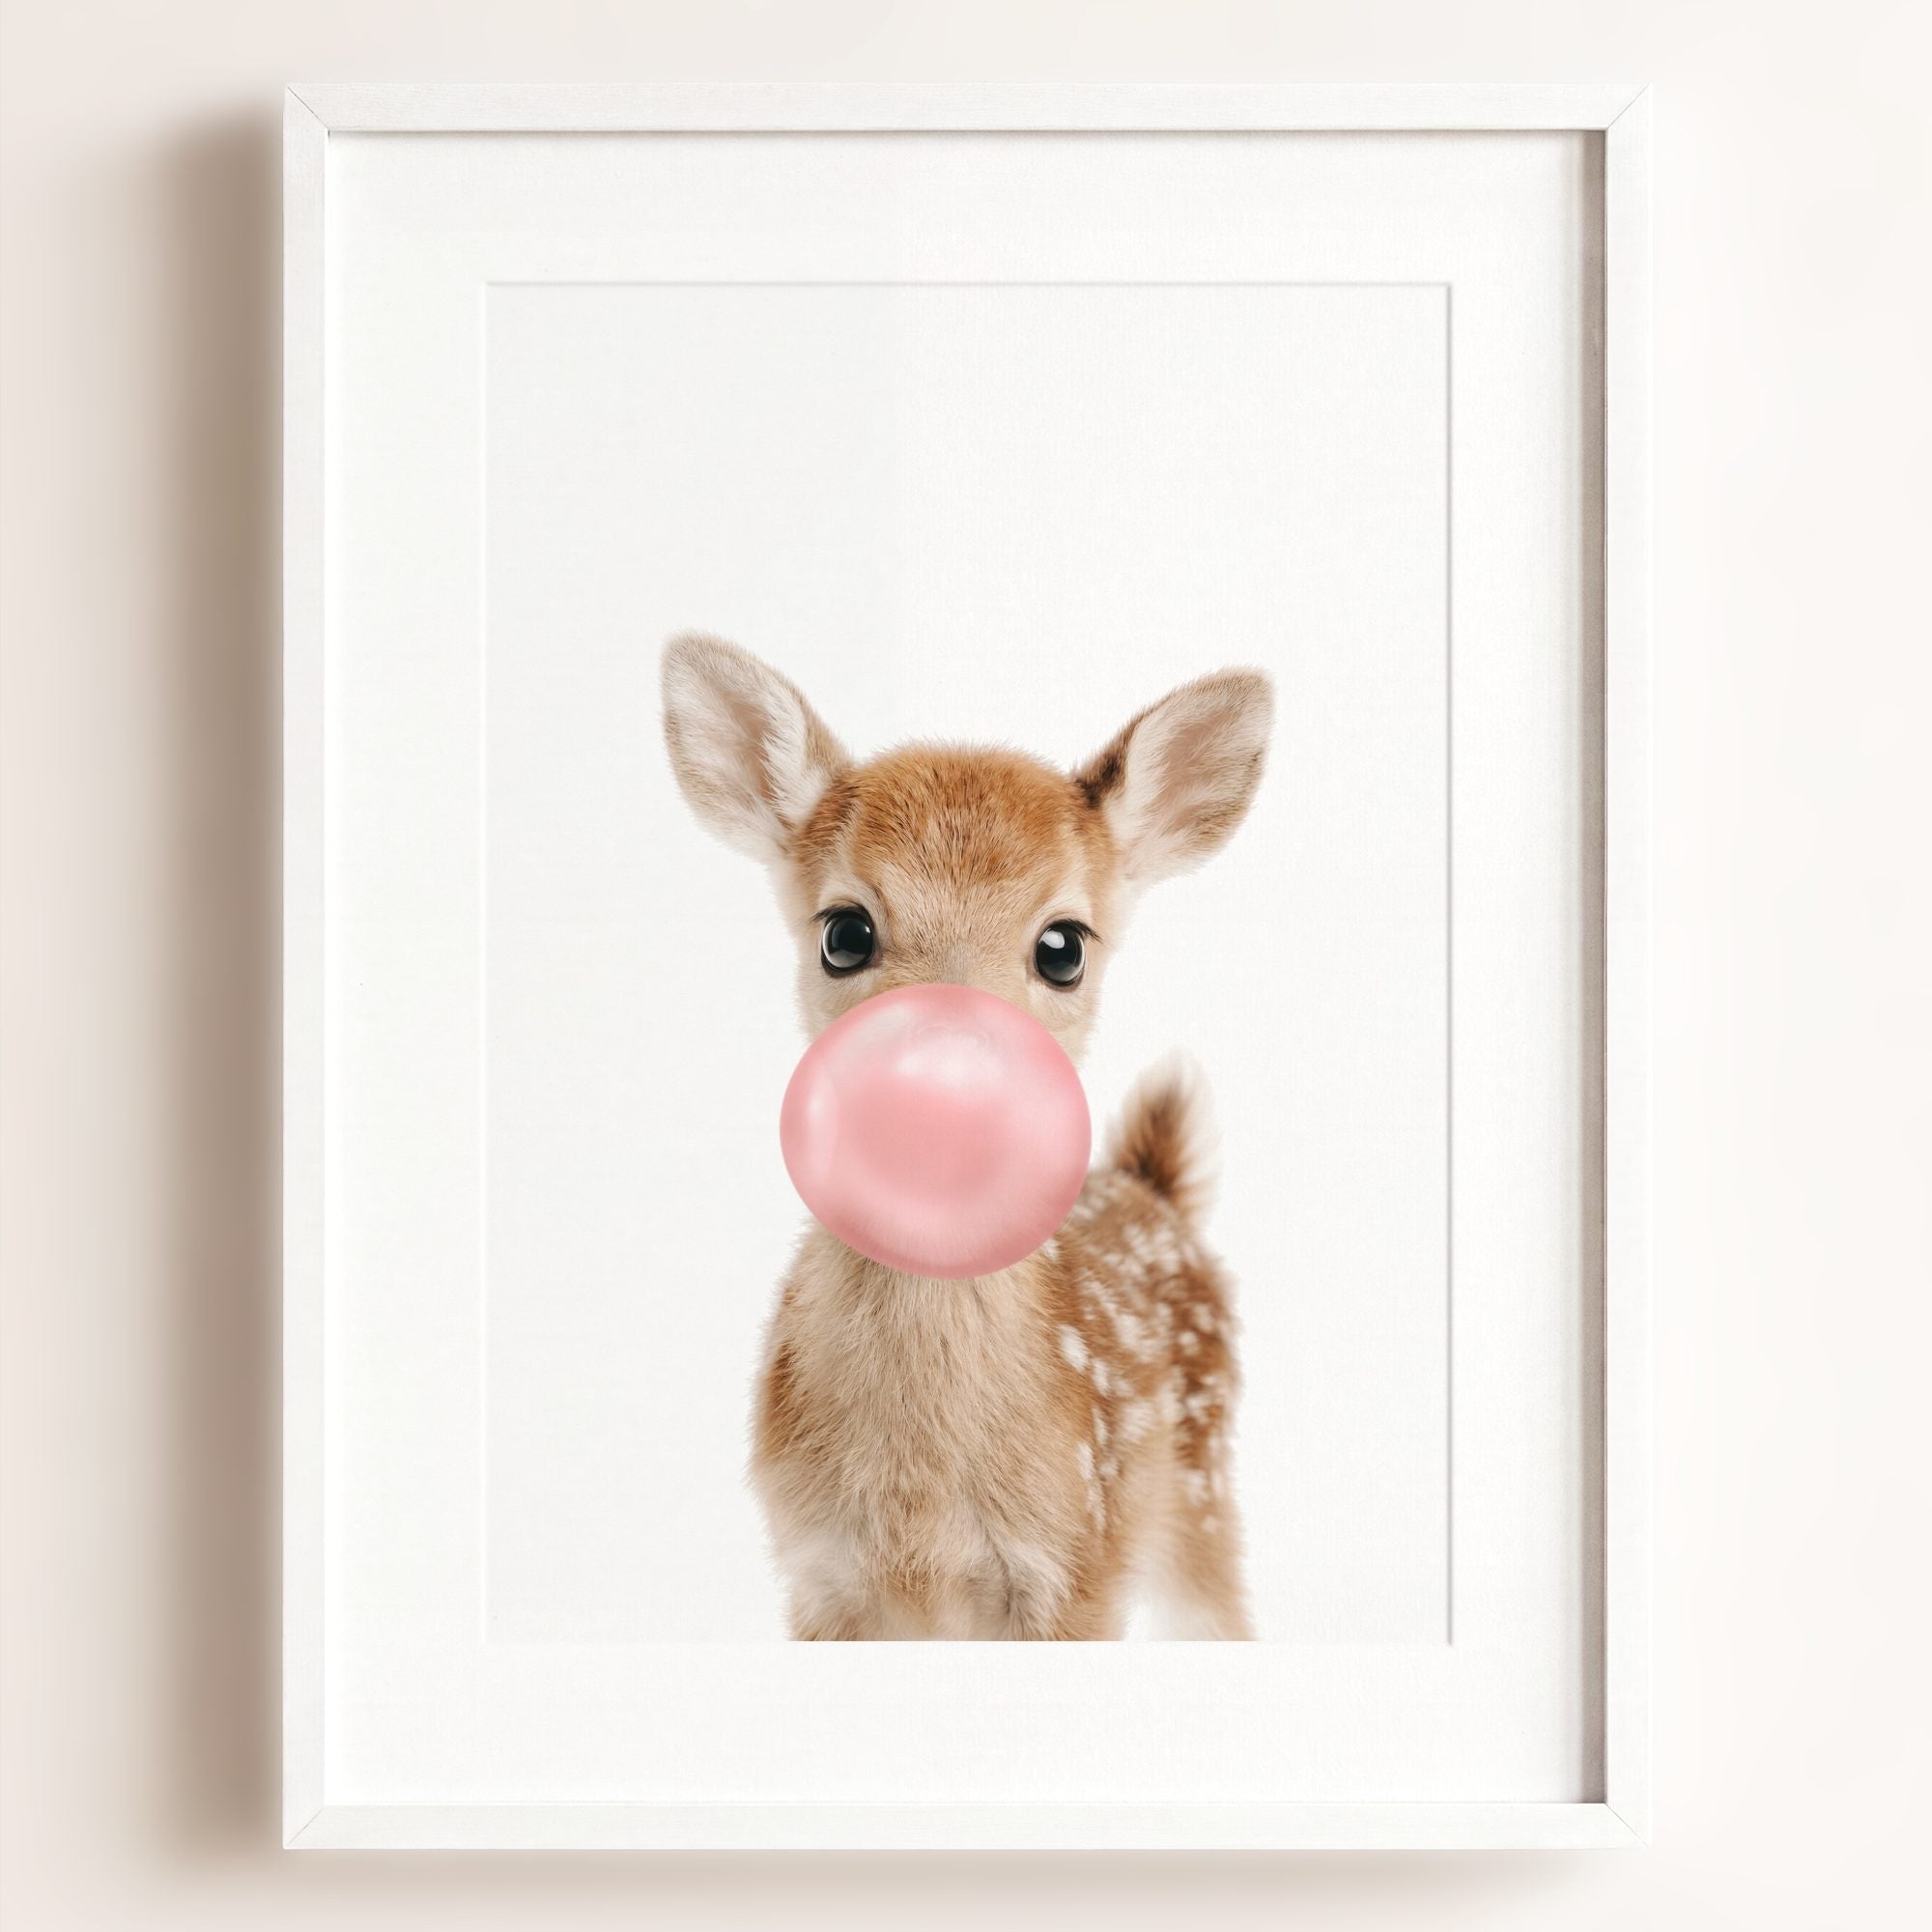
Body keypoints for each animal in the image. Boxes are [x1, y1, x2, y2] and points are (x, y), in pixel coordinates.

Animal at [661, 634, 1274, 1639]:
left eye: (1063, 947)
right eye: (845, 932)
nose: (948, 1074)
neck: (920, 1507)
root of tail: (1154, 1187)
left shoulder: (1077, 1567)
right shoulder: (818, 1576)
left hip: (1202, 1494)